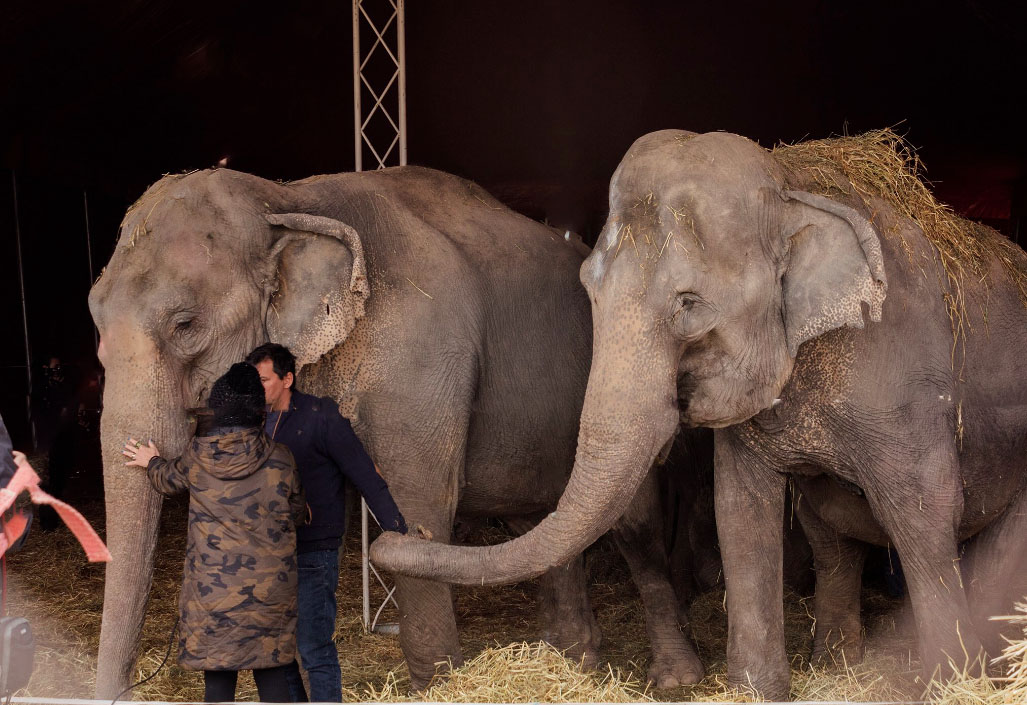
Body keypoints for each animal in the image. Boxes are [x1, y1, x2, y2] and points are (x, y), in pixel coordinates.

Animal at [88, 167, 706, 702]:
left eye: (185, 324)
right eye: (93, 321)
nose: (125, 692)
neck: (285, 198)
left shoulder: (418, 355)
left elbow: (418, 502)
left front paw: (439, 686)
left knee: (635, 531)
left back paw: (671, 677)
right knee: (540, 525)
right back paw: (573, 661)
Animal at [373, 131, 1027, 702]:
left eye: (689, 306)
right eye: (589, 289)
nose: (390, 538)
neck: (790, 185)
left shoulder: (905, 381)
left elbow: (921, 510)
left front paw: (948, 685)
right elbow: (741, 512)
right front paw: (756, 691)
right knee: (829, 533)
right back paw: (840, 665)